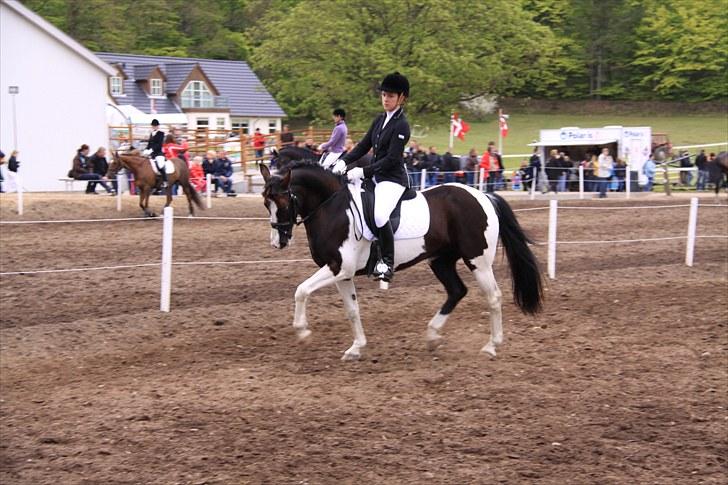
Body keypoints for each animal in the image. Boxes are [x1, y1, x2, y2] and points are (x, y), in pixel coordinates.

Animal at [260, 162, 540, 360]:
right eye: (265, 203)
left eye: (283, 201)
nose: (278, 242)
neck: (334, 208)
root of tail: (484, 197)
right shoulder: (343, 273)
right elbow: (352, 310)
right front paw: (356, 348)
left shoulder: (338, 267)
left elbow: (301, 290)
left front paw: (303, 332)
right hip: (441, 260)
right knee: (457, 291)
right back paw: (432, 336)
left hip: (478, 261)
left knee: (493, 297)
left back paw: (491, 346)